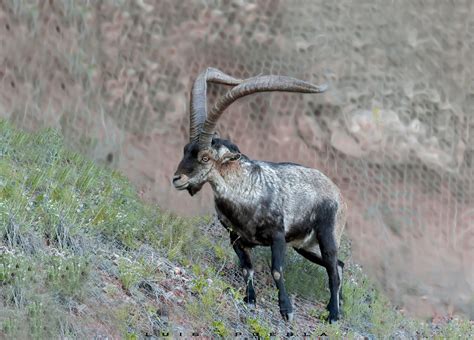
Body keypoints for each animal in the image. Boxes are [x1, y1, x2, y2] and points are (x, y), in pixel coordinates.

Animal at [172, 67, 346, 322]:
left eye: (205, 157)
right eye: (185, 150)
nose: (177, 179)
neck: (246, 190)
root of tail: (339, 195)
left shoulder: (277, 236)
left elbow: (277, 271)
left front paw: (286, 310)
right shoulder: (235, 238)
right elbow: (247, 268)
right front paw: (250, 300)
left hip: (327, 235)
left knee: (333, 268)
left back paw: (333, 314)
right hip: (306, 246)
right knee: (339, 265)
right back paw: (335, 305)